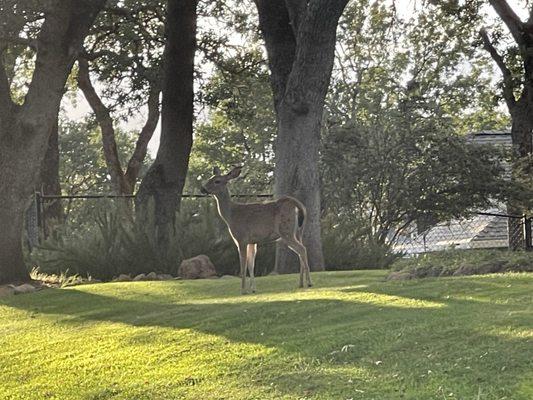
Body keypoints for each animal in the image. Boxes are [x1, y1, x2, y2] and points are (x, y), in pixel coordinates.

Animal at [202, 166, 314, 294]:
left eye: (217, 181)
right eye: (210, 178)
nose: (202, 189)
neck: (231, 216)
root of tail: (297, 205)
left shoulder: (241, 239)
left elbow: (244, 264)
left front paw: (243, 290)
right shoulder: (252, 242)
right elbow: (251, 264)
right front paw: (253, 289)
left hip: (286, 231)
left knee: (302, 249)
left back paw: (309, 282)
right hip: (299, 231)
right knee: (301, 250)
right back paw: (301, 283)